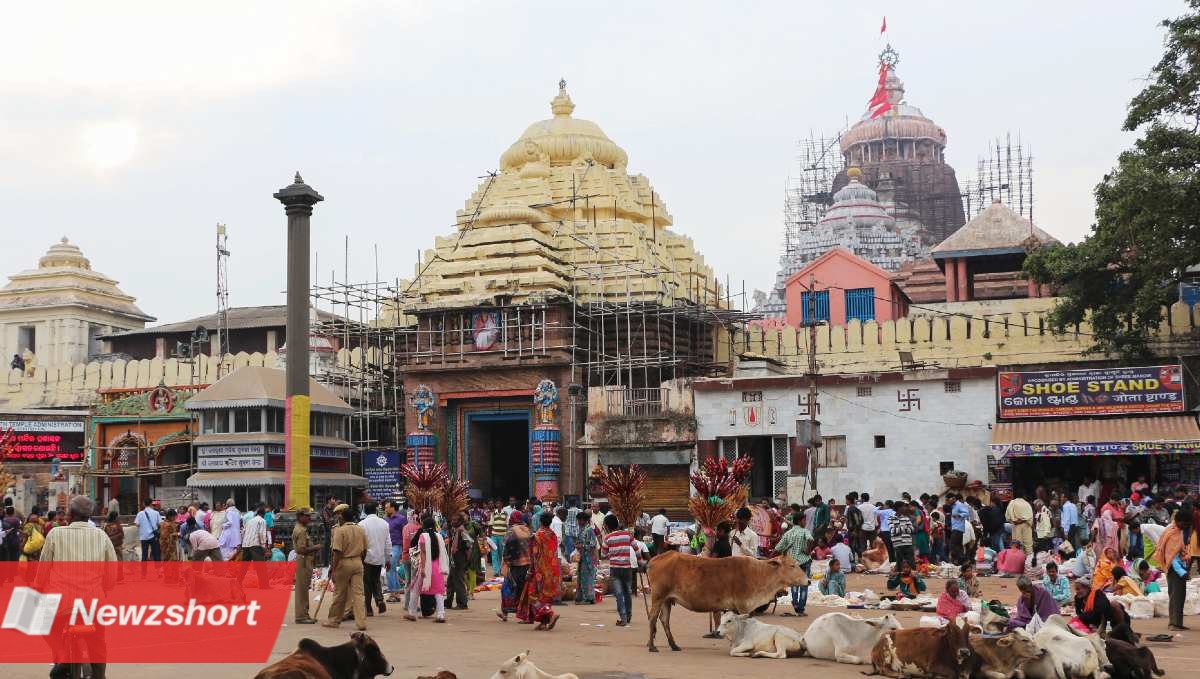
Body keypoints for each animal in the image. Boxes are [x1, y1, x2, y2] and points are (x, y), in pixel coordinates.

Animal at [648, 554, 806, 652]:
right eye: (792, 565)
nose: (808, 581)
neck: (759, 572)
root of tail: (656, 559)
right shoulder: (743, 606)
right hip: (658, 597)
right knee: (653, 618)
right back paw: (651, 646)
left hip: (667, 600)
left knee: (664, 620)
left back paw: (674, 645)